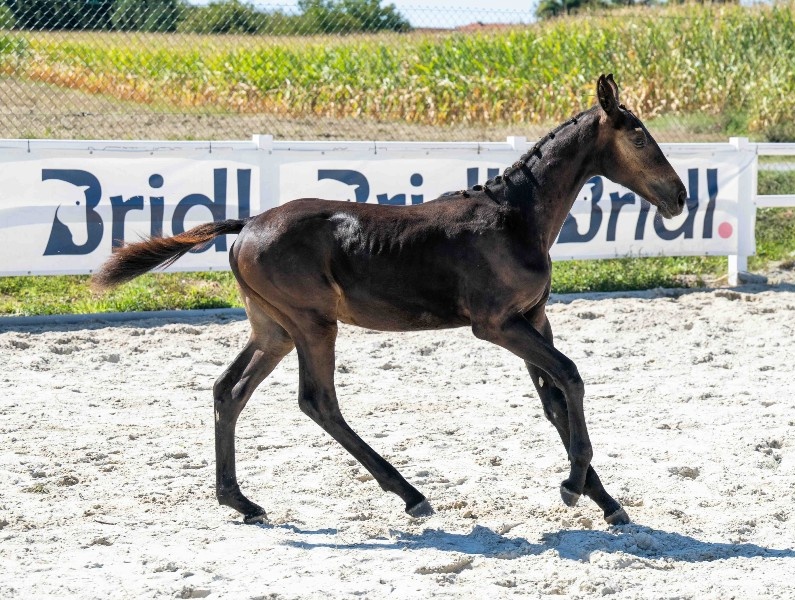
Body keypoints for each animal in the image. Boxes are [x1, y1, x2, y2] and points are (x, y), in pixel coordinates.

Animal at [93, 74, 686, 526]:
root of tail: (248, 224)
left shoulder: (534, 319)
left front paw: (604, 500)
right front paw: (573, 484)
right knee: (317, 401)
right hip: (313, 324)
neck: (516, 218)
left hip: (273, 328)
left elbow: (555, 400)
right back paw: (410, 494)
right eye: (639, 138)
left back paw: (241, 502)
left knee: (229, 390)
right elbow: (571, 377)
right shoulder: (497, 324)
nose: (679, 197)